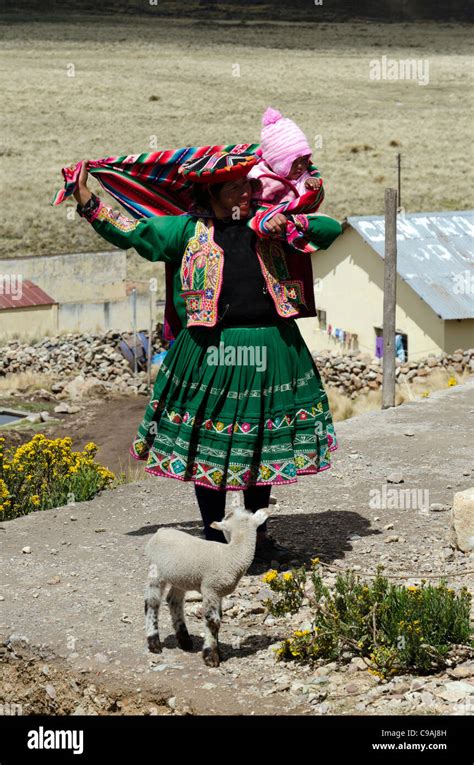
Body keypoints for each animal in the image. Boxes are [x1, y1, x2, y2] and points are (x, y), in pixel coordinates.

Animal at [143, 508, 268, 664]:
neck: (231, 554)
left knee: (173, 601)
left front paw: (219, 652)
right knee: (152, 602)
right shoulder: (210, 588)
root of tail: (160, 531)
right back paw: (154, 643)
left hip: (180, 578)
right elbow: (213, 620)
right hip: (155, 571)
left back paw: (185, 640)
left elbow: (219, 618)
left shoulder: (218, 591)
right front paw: (211, 656)